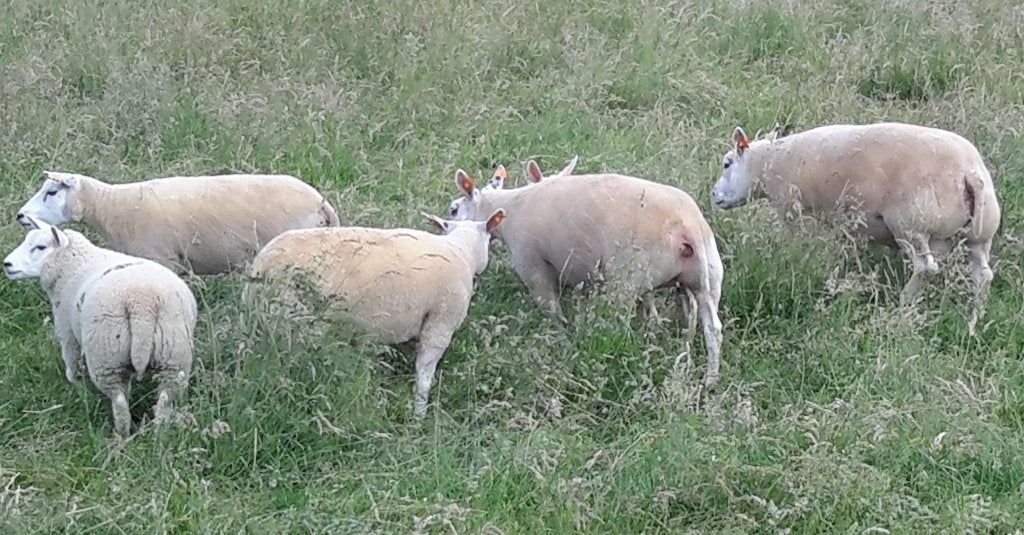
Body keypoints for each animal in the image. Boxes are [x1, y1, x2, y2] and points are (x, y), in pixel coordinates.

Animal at [3, 215, 198, 439]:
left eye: (40, 247)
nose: (7, 264)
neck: (74, 264)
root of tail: (141, 302)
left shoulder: (65, 328)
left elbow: (72, 366)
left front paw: (80, 390)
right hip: (174, 356)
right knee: (165, 400)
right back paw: (159, 435)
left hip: (106, 356)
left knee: (120, 402)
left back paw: (121, 437)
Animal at [245, 209, 507, 416]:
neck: (462, 251)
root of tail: (262, 267)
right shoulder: (441, 321)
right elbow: (424, 373)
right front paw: (419, 413)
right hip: (296, 320)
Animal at [447, 168, 725, 386]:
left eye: (453, 209)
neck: (510, 210)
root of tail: (688, 226)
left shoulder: (534, 270)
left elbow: (554, 314)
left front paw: (562, 343)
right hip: (708, 279)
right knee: (713, 329)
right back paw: (710, 379)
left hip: (627, 280)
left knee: (620, 326)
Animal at [711, 121, 1001, 334]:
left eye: (727, 163)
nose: (714, 195)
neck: (768, 164)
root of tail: (968, 173)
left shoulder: (796, 214)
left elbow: (803, 249)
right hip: (979, 234)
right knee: (983, 275)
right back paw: (974, 320)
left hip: (910, 225)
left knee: (926, 267)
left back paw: (905, 303)